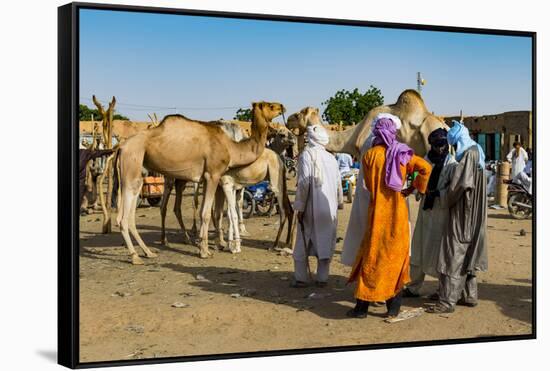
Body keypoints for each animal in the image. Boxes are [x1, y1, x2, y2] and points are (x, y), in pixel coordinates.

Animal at [112, 101, 284, 264]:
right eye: (270, 105)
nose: (282, 107)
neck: (231, 146)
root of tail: (120, 147)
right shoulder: (213, 174)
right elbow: (207, 213)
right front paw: (205, 251)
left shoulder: (208, 178)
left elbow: (211, 212)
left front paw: (210, 245)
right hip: (133, 164)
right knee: (125, 216)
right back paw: (136, 256)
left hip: (140, 172)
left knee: (133, 213)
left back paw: (149, 252)